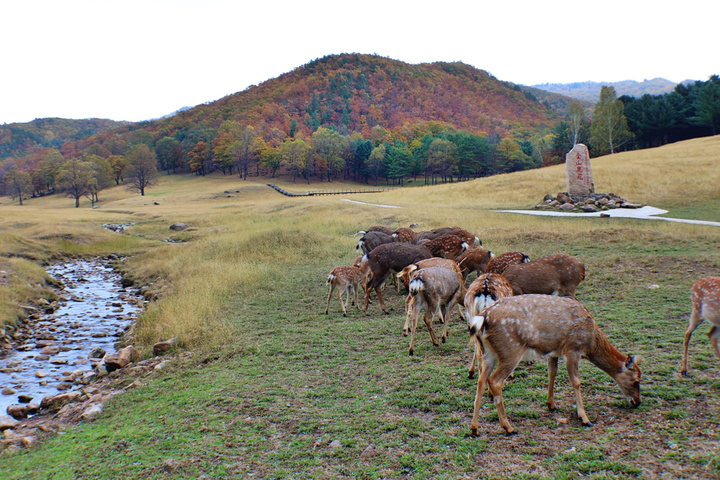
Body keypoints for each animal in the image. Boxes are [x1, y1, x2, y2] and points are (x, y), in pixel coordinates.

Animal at [470, 294, 644, 436]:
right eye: (636, 381)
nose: (637, 402)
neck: (590, 341)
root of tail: (482, 318)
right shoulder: (573, 347)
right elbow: (576, 381)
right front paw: (584, 417)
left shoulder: (554, 352)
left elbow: (552, 372)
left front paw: (551, 404)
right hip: (511, 350)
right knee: (495, 381)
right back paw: (508, 427)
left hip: (489, 353)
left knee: (481, 380)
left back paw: (475, 428)